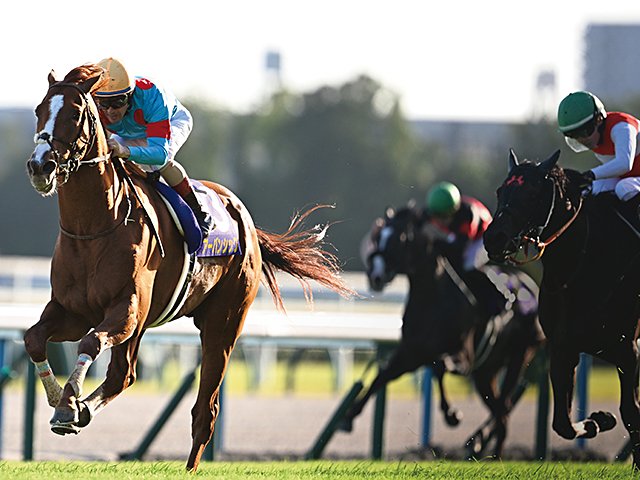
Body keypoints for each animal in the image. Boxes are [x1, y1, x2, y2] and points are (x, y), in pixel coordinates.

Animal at [23, 64, 354, 472]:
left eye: (74, 113)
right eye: (39, 110)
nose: (40, 165)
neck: (94, 226)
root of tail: (245, 219)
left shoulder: (126, 311)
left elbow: (90, 341)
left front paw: (69, 404)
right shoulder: (72, 311)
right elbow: (34, 338)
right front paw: (61, 400)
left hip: (223, 324)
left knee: (202, 408)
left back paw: (190, 465)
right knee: (122, 377)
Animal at [338, 203, 544, 458]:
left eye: (401, 237)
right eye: (378, 237)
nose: (375, 276)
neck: (432, 298)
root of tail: (532, 287)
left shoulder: (464, 357)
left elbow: (438, 366)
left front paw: (452, 414)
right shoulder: (411, 353)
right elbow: (382, 376)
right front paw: (348, 418)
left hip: (520, 355)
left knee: (503, 411)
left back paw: (488, 451)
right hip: (485, 372)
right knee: (501, 413)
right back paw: (479, 444)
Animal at [483, 148, 640, 469]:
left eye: (532, 193)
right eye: (500, 191)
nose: (494, 238)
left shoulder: (626, 349)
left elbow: (632, 413)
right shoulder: (563, 346)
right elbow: (562, 423)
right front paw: (598, 420)